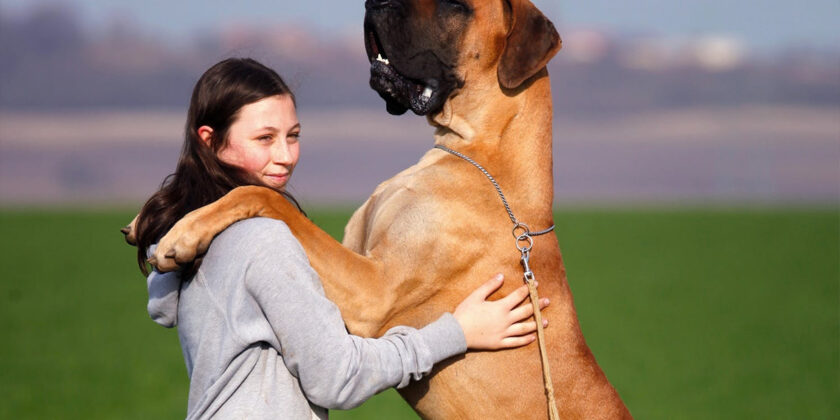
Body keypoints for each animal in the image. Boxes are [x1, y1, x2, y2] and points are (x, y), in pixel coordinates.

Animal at [139, 0, 632, 418]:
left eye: (456, 4)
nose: (375, 2)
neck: (477, 155)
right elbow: (274, 204)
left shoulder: (372, 294)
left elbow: (264, 196)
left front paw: (180, 234)